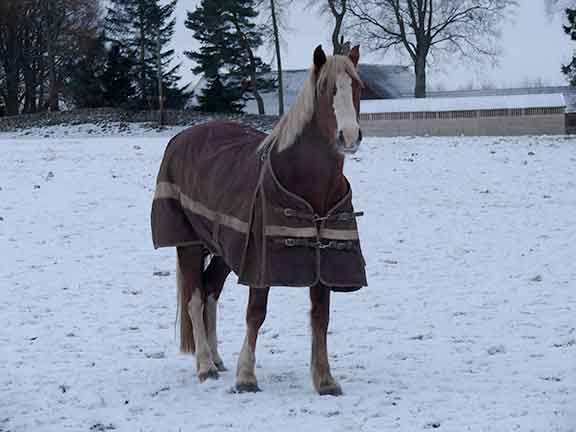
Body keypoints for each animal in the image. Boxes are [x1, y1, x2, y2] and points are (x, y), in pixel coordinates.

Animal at [151, 44, 366, 394]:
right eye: (325, 89)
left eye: (358, 87)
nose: (349, 136)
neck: (304, 181)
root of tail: (181, 139)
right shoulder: (260, 263)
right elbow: (256, 313)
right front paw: (246, 376)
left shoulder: (322, 259)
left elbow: (321, 317)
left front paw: (325, 379)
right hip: (190, 245)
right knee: (194, 299)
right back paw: (205, 366)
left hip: (223, 250)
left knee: (210, 290)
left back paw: (216, 359)